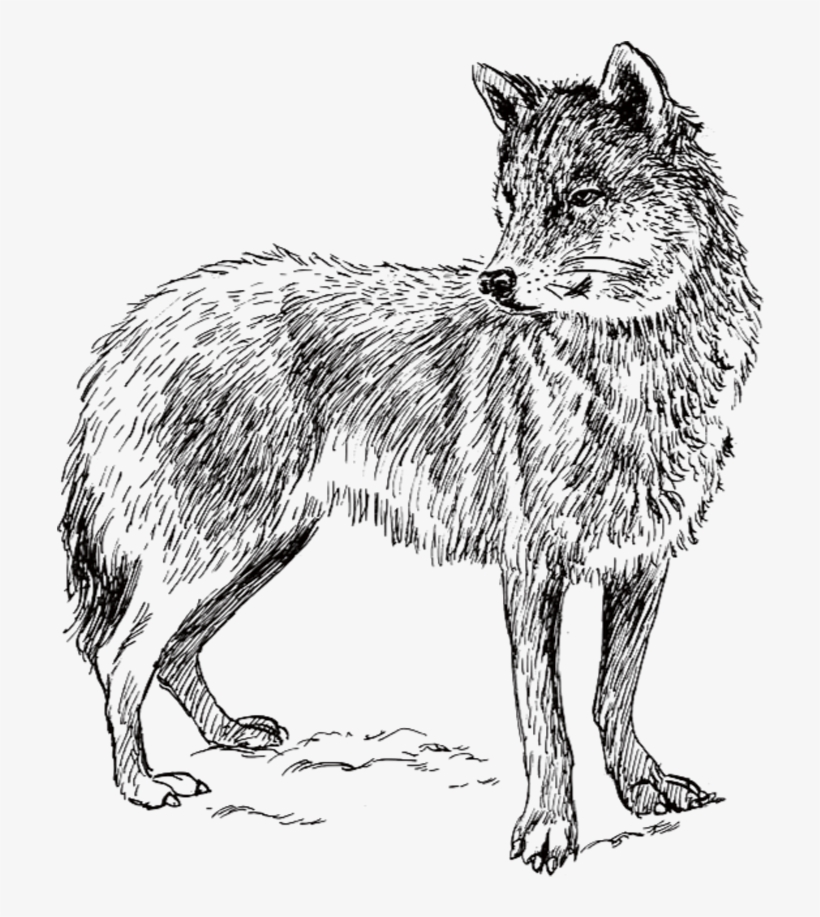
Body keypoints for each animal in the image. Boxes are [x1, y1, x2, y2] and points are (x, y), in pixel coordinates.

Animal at [61, 43, 760, 874]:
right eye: (510, 203)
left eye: (580, 200)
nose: (495, 281)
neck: (628, 373)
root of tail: (133, 327)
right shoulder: (530, 572)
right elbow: (548, 721)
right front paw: (549, 829)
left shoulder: (643, 564)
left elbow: (611, 696)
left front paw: (642, 788)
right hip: (208, 550)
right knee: (120, 656)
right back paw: (142, 784)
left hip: (260, 548)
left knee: (170, 652)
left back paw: (228, 735)